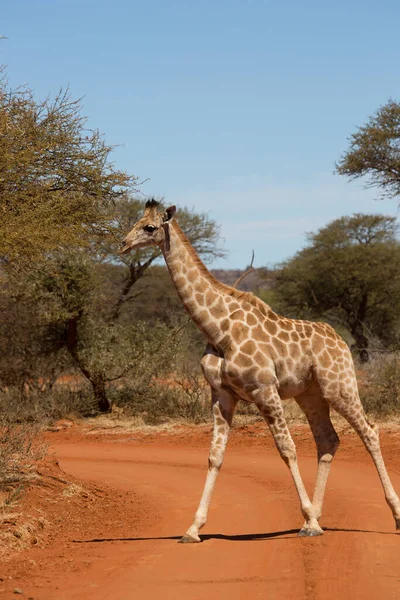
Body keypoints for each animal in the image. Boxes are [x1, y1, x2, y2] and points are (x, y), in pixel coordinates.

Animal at [119, 199, 400, 540]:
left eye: (149, 227)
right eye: (135, 222)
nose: (123, 243)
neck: (218, 329)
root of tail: (340, 341)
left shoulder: (264, 390)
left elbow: (287, 449)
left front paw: (308, 516)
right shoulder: (221, 395)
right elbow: (215, 456)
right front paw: (193, 527)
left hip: (338, 385)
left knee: (369, 432)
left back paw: (392, 516)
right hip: (310, 394)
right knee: (328, 439)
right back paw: (314, 521)